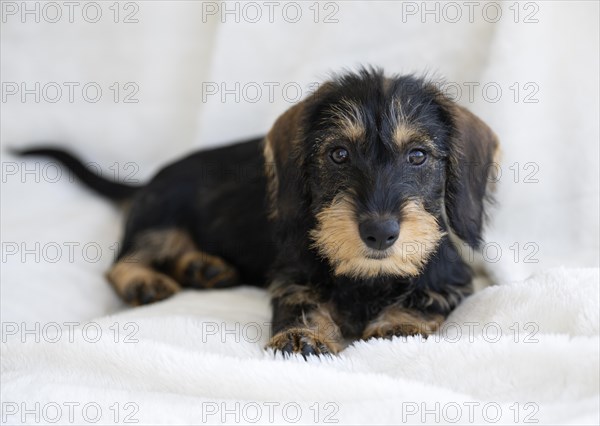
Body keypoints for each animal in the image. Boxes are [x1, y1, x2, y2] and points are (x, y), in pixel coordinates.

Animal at [17, 68, 496, 358]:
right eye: (339, 154)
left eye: (418, 156)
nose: (380, 232)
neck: (366, 277)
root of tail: (149, 181)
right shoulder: (292, 277)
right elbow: (302, 304)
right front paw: (305, 335)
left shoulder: (453, 279)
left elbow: (427, 295)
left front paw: (398, 324)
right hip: (160, 218)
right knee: (123, 261)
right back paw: (147, 280)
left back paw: (202, 267)